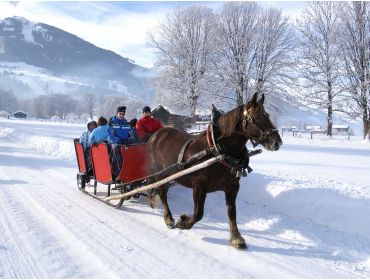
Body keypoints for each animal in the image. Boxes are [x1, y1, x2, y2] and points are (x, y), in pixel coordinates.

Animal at [146, 92, 282, 249]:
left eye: (268, 115)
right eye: (257, 118)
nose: (277, 142)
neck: (218, 151)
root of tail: (157, 135)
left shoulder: (232, 187)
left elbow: (232, 213)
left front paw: (236, 238)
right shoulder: (199, 187)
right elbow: (198, 214)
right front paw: (183, 222)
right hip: (160, 173)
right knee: (161, 191)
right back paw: (168, 218)